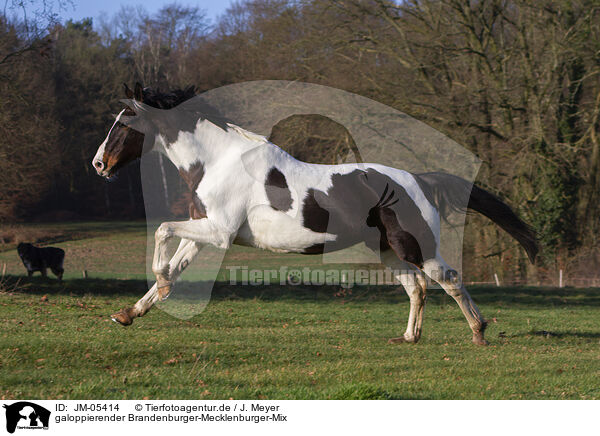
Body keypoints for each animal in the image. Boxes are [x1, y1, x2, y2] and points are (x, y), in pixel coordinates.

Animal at [94, 83, 540, 346]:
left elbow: (161, 233)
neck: (216, 162)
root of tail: (418, 180)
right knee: (416, 288)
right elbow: (174, 261)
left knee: (447, 279)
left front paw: (157, 288)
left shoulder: (218, 233)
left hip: (416, 247)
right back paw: (408, 338)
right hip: (388, 250)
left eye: (123, 125)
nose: (99, 165)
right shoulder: (203, 232)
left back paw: (479, 334)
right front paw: (128, 313)